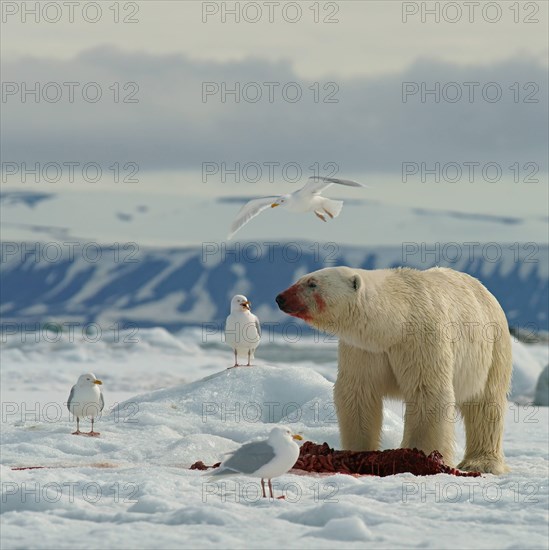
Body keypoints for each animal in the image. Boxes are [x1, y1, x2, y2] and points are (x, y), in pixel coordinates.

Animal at [276, 268, 512, 474]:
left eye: (312, 283)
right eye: (301, 279)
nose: (280, 298)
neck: (395, 324)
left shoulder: (421, 339)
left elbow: (427, 392)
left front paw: (421, 456)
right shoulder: (364, 349)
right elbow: (358, 393)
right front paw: (356, 451)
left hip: (493, 348)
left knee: (486, 405)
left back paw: (481, 463)